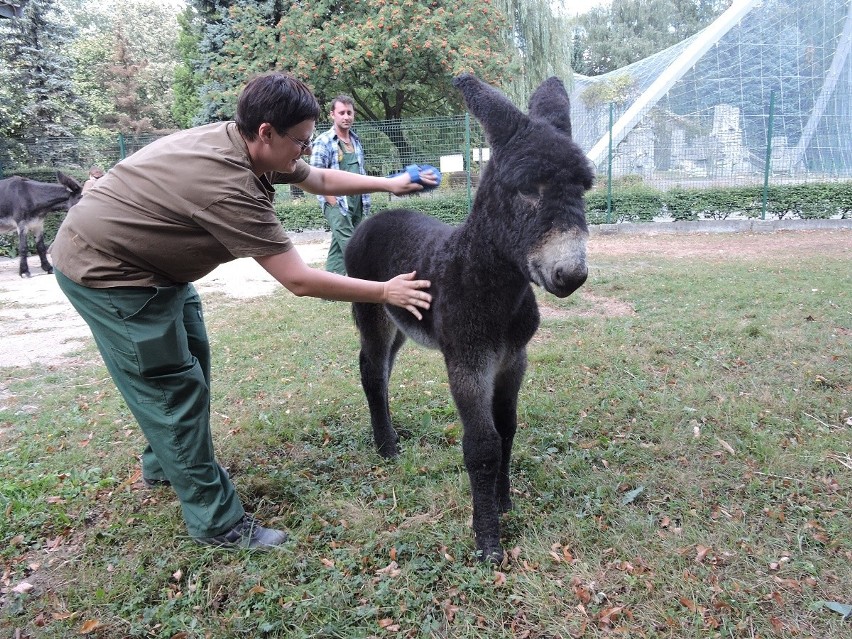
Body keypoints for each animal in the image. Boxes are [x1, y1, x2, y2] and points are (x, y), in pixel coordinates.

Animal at [342, 75, 596, 564]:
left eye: (582, 189)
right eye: (527, 189)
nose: (571, 275)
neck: (486, 278)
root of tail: (374, 217)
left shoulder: (513, 360)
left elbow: (507, 430)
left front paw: (503, 500)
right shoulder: (467, 363)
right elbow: (481, 445)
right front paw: (488, 541)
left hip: (402, 323)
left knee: (380, 369)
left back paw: (389, 433)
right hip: (371, 311)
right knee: (370, 371)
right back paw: (387, 449)